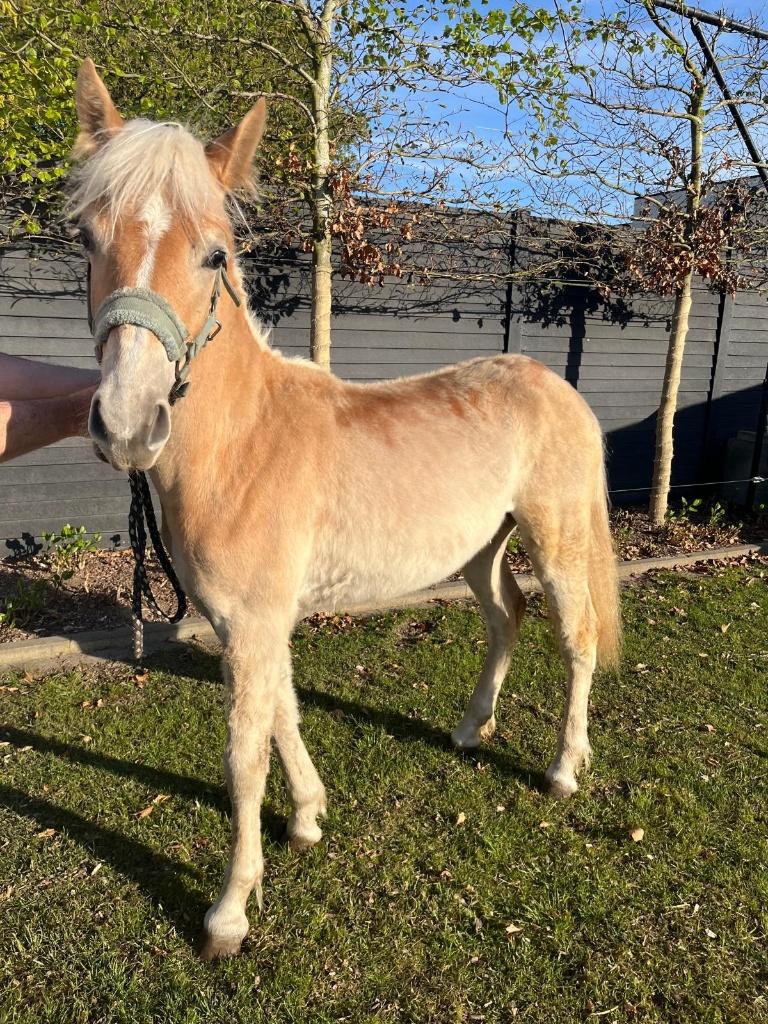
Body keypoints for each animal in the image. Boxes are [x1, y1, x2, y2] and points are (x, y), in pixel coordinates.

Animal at [69, 58, 620, 960]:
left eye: (214, 254)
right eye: (87, 238)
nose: (126, 424)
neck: (245, 443)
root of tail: (555, 386)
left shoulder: (254, 622)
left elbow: (244, 755)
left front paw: (229, 912)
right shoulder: (252, 622)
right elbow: (283, 713)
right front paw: (308, 819)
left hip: (557, 537)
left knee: (575, 638)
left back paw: (564, 768)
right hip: (481, 548)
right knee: (504, 616)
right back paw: (470, 729)